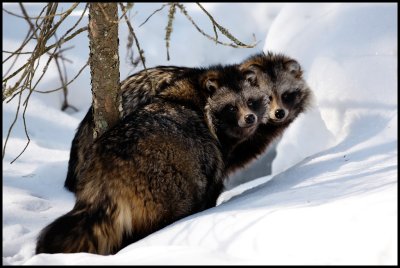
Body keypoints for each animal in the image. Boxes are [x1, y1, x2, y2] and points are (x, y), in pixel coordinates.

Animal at [36, 64, 270, 253]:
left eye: (251, 101)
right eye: (231, 107)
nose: (250, 118)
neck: (193, 94)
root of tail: (107, 170)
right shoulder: (210, 159)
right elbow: (210, 193)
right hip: (164, 188)